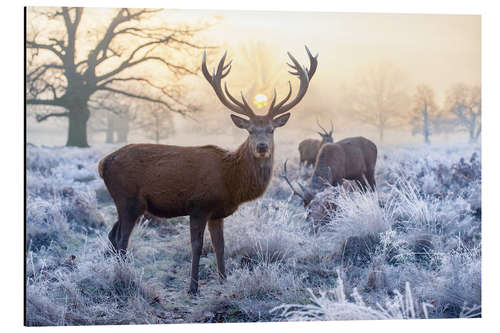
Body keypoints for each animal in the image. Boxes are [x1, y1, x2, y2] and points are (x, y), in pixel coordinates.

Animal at [97, 45, 318, 292]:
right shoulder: (199, 205)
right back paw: (125, 277)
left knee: (112, 234)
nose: (262, 147)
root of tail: (103, 164)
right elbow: (197, 245)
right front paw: (193, 287)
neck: (230, 181)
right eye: (250, 130)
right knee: (122, 238)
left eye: (271, 129)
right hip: (128, 199)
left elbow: (219, 245)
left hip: (126, 203)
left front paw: (224, 280)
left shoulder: (217, 213)